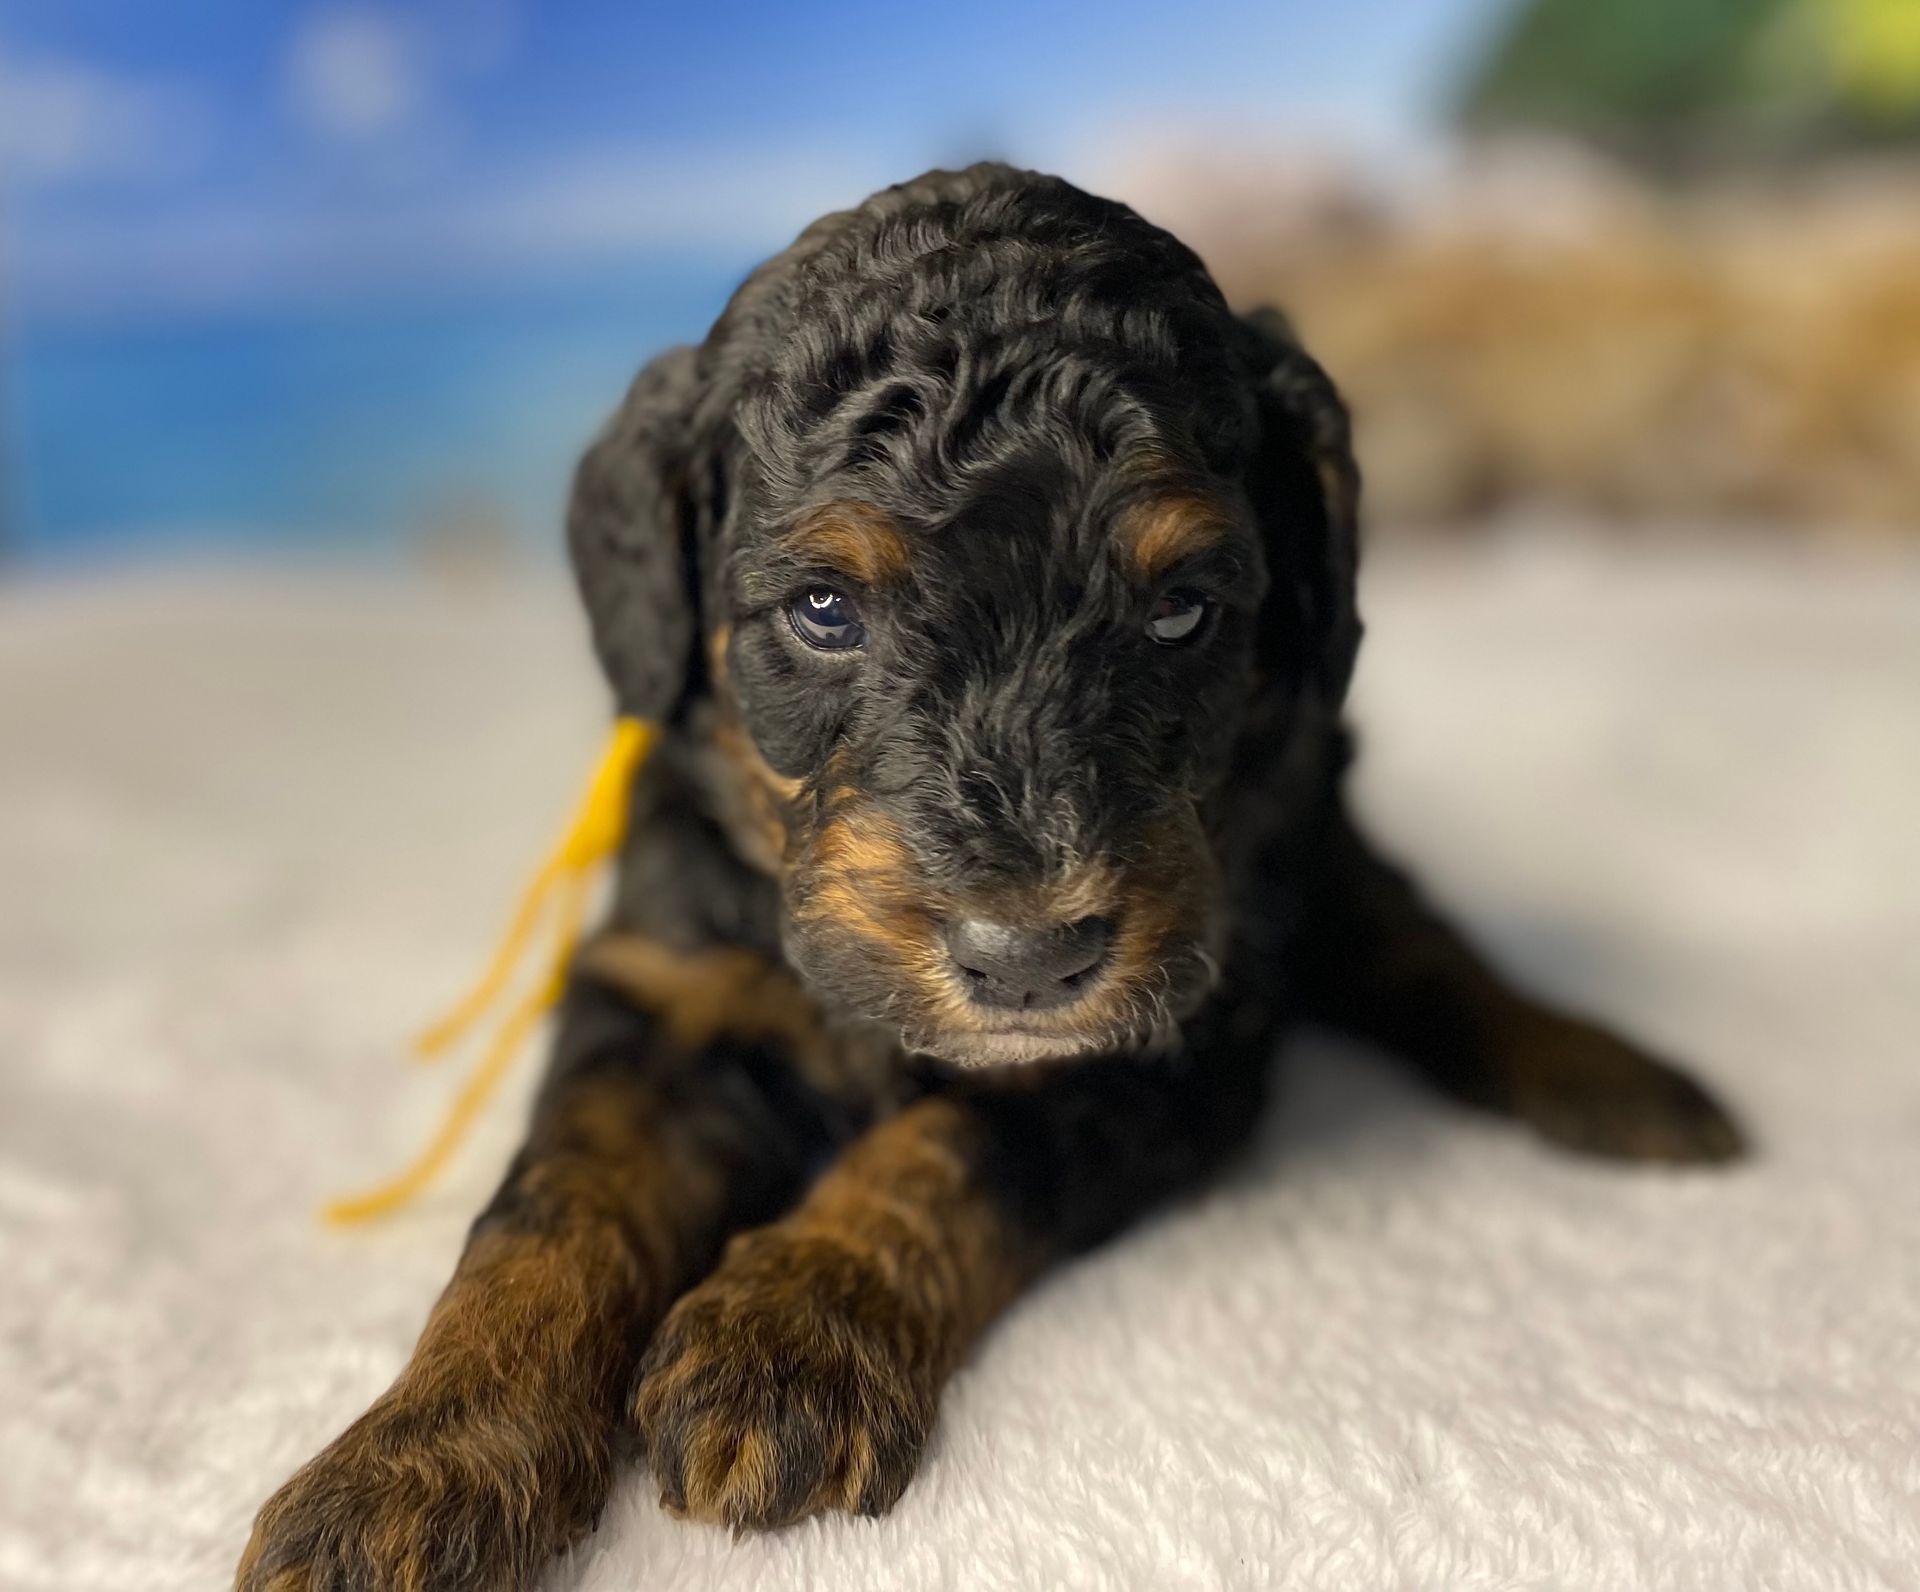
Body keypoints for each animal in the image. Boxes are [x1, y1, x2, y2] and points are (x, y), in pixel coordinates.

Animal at [236, 164, 1743, 1590]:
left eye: (1181, 608)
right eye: (824, 610)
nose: (1028, 959)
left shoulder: (1167, 1035)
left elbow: (956, 1143)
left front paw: (788, 1338)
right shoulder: (660, 988)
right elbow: (550, 1208)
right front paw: (407, 1470)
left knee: (1412, 938)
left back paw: (1617, 1079)